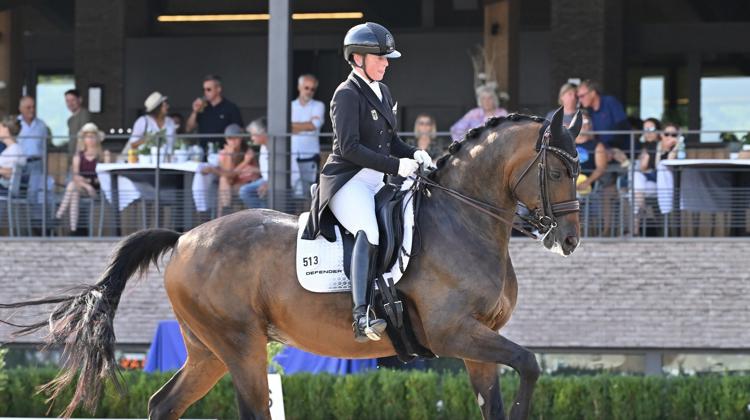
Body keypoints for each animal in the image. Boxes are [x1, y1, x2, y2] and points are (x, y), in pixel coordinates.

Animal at [0, 109, 584, 420]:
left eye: (580, 167)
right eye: (557, 171)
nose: (570, 240)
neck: (464, 219)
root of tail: (187, 236)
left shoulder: (478, 338)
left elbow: (502, 394)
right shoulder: (453, 332)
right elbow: (531, 363)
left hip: (208, 350)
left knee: (165, 404)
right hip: (239, 343)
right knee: (250, 408)